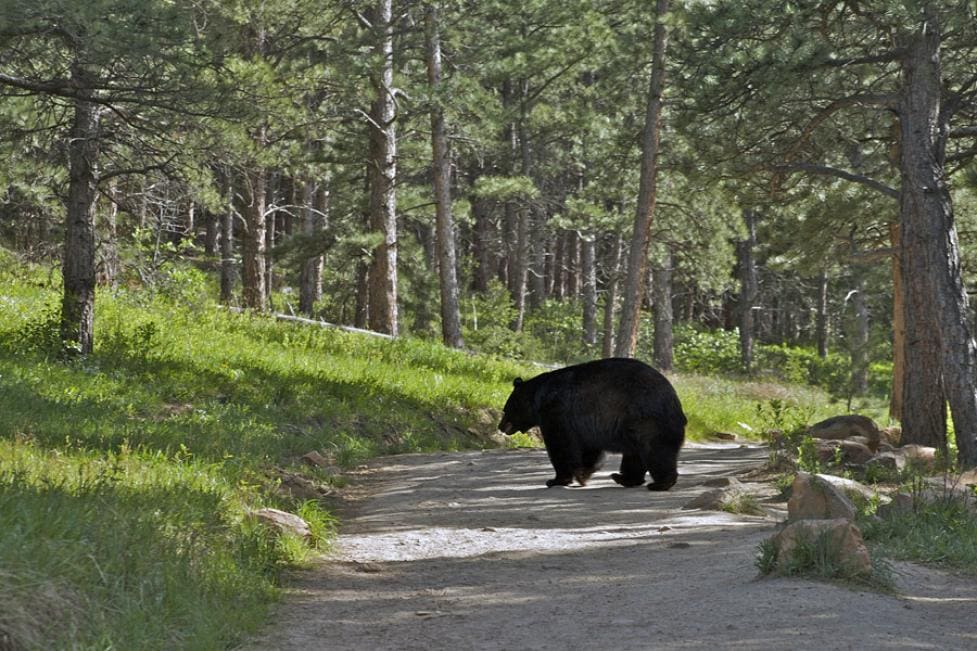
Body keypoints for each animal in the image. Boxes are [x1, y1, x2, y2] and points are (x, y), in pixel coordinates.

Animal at [500, 360, 684, 492]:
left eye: (506, 409)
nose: (500, 426)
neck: (539, 397)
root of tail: (676, 403)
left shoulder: (556, 412)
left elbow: (560, 445)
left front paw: (556, 479)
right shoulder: (585, 425)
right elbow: (590, 449)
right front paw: (583, 474)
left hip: (646, 420)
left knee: (655, 451)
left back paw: (660, 483)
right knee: (635, 455)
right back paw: (624, 478)